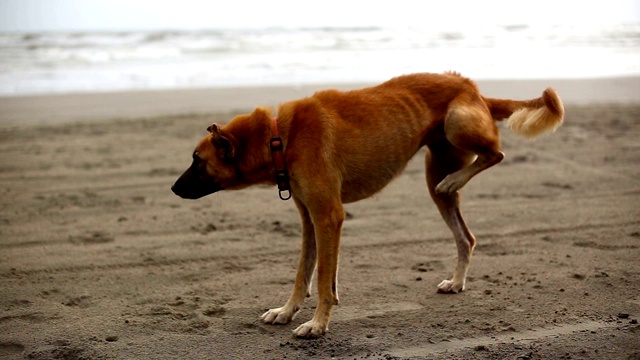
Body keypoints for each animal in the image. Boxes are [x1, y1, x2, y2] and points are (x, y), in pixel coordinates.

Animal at [171, 72, 564, 338]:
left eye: (197, 161)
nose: (173, 189)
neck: (279, 138)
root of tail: (472, 87)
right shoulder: (310, 219)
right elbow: (305, 273)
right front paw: (287, 311)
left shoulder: (328, 216)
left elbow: (323, 279)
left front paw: (317, 324)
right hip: (437, 177)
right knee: (466, 237)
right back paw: (456, 281)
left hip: (457, 124)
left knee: (495, 153)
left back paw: (459, 179)